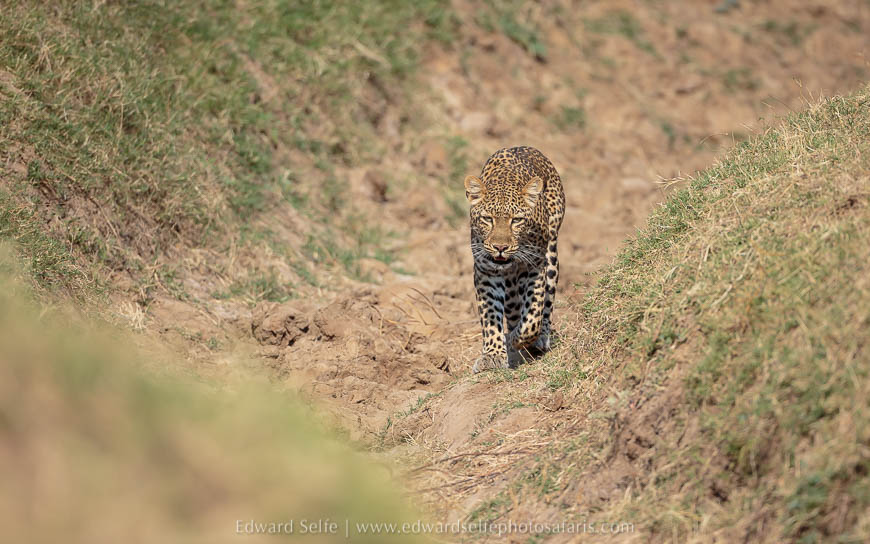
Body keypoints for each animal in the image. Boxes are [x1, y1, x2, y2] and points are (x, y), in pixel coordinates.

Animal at [464, 146, 565, 373]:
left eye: (517, 220)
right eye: (488, 219)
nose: (500, 248)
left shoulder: (535, 266)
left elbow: (533, 316)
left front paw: (516, 339)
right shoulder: (486, 271)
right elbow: (491, 315)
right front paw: (493, 355)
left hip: (551, 252)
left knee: (547, 304)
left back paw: (540, 339)